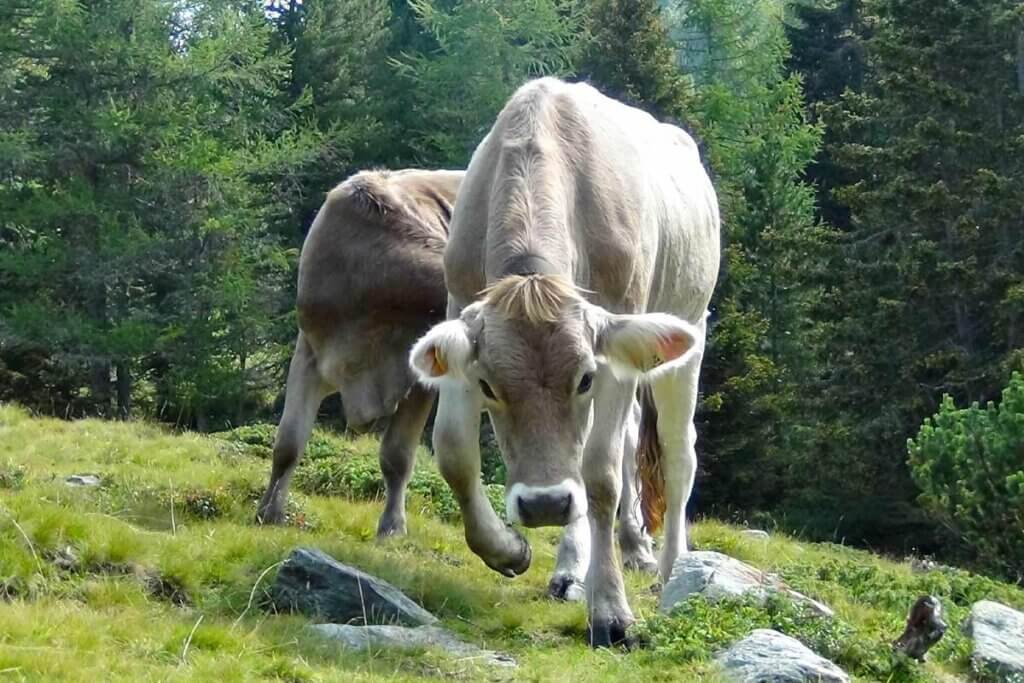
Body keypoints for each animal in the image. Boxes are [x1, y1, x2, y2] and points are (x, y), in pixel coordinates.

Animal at [254, 167, 655, 593]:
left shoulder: (416, 380)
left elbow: (396, 455)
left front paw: (392, 528)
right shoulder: (311, 353)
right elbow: (289, 441)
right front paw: (269, 512)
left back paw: (633, 547)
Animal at [407, 76, 720, 647]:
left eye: (585, 378)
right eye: (488, 386)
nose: (545, 504)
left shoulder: (617, 337)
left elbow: (599, 475)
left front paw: (611, 611)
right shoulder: (460, 306)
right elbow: (453, 449)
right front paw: (506, 549)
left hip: (691, 324)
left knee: (674, 450)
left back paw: (669, 568)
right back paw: (593, 560)